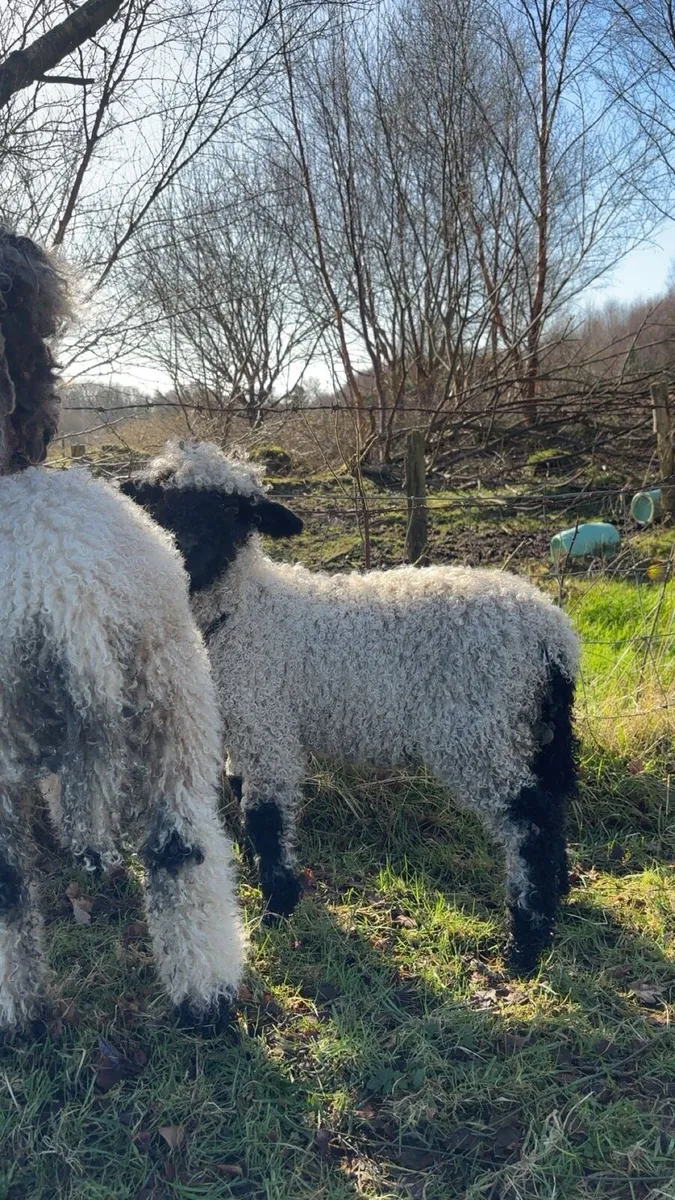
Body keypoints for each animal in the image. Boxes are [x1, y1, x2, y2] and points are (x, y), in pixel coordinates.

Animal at [122, 439, 579, 975]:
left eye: (235, 512)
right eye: (161, 502)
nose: (188, 551)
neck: (242, 612)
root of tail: (554, 637)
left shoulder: (266, 721)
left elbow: (265, 814)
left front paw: (277, 908)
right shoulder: (243, 725)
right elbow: (241, 795)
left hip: (474, 728)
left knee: (530, 818)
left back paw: (525, 945)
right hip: (530, 725)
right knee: (552, 803)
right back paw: (556, 898)